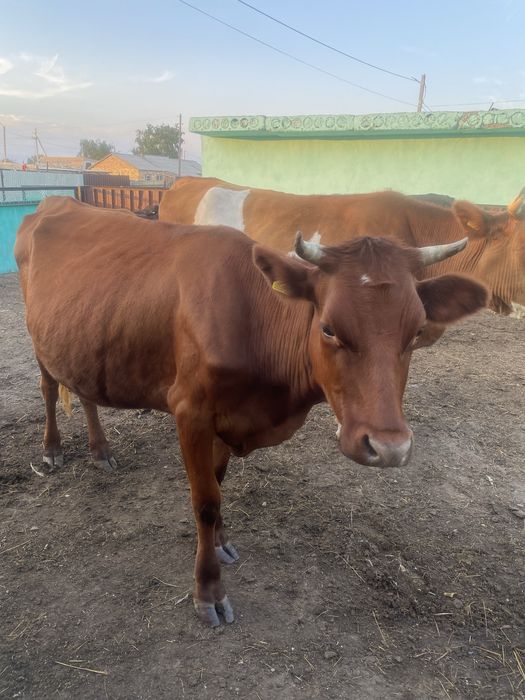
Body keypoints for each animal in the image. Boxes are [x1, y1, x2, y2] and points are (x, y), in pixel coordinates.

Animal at [15, 196, 487, 626]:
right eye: (328, 328)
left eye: (417, 332)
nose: (389, 448)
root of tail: (56, 202)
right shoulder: (190, 411)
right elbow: (206, 500)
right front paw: (208, 591)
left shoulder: (226, 417)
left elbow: (219, 484)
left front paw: (221, 542)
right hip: (39, 336)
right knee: (48, 386)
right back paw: (52, 450)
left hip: (82, 337)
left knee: (84, 391)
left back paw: (100, 450)